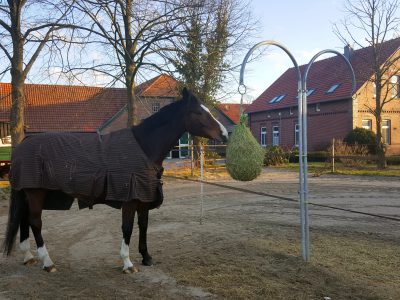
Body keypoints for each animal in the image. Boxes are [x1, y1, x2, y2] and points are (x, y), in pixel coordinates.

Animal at [2, 88, 228, 274]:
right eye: (199, 112)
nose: (225, 134)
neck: (144, 146)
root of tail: (24, 144)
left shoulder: (144, 198)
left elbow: (143, 225)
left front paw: (146, 257)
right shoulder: (130, 198)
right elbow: (127, 228)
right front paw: (127, 263)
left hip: (29, 193)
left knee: (24, 220)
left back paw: (28, 256)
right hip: (35, 192)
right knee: (35, 222)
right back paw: (47, 262)